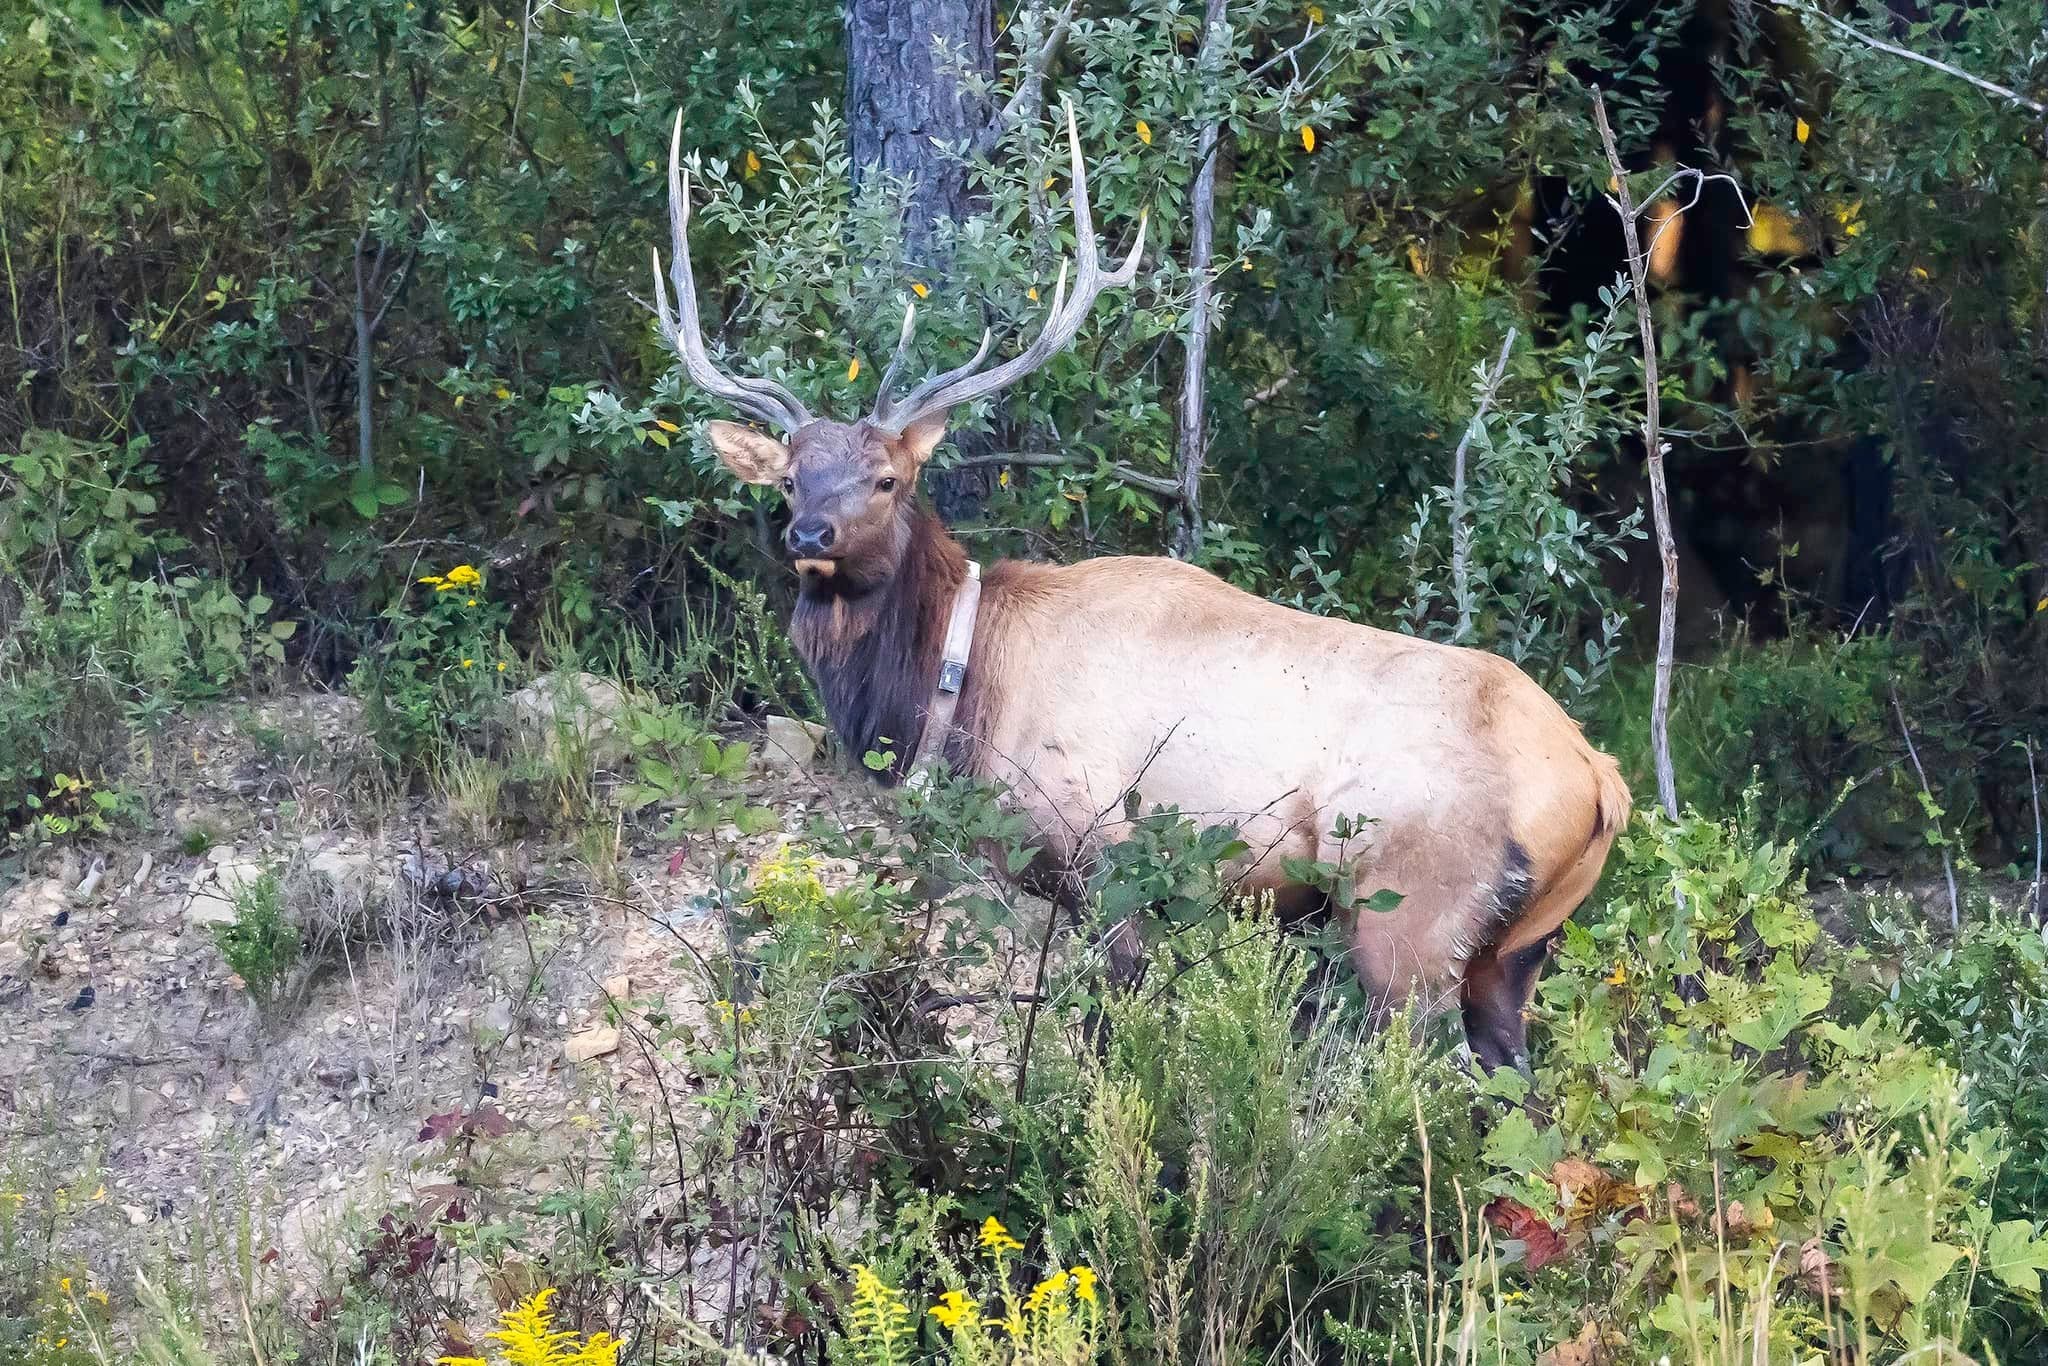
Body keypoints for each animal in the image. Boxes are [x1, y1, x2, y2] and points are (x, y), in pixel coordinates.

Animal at [648, 105, 1631, 1072]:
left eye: (888, 479)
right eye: (788, 480)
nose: (810, 536)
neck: (958, 688)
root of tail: (1599, 780)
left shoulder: (1101, 849)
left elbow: (1107, 1033)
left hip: (1411, 918)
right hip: (1517, 950)